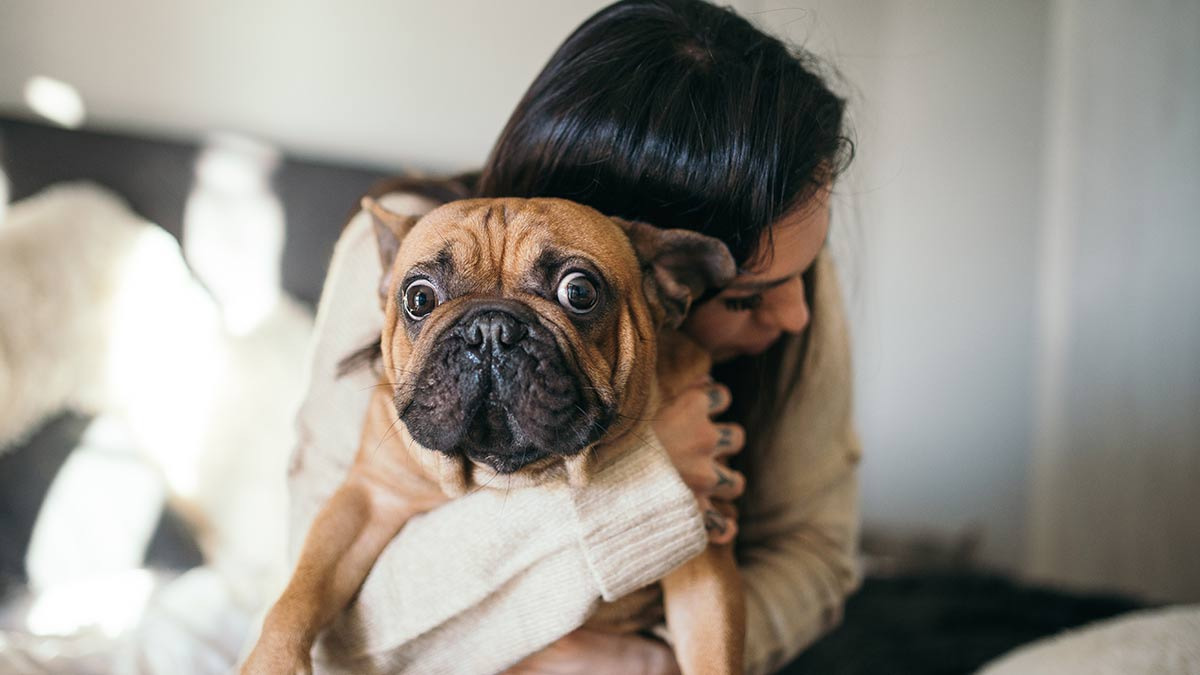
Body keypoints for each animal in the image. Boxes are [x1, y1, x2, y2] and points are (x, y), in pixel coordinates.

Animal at [243, 196, 744, 667]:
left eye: (579, 291)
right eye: (418, 299)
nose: (490, 329)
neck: (508, 475)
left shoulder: (699, 552)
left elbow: (713, 653)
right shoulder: (367, 500)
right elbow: (300, 591)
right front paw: (273, 661)